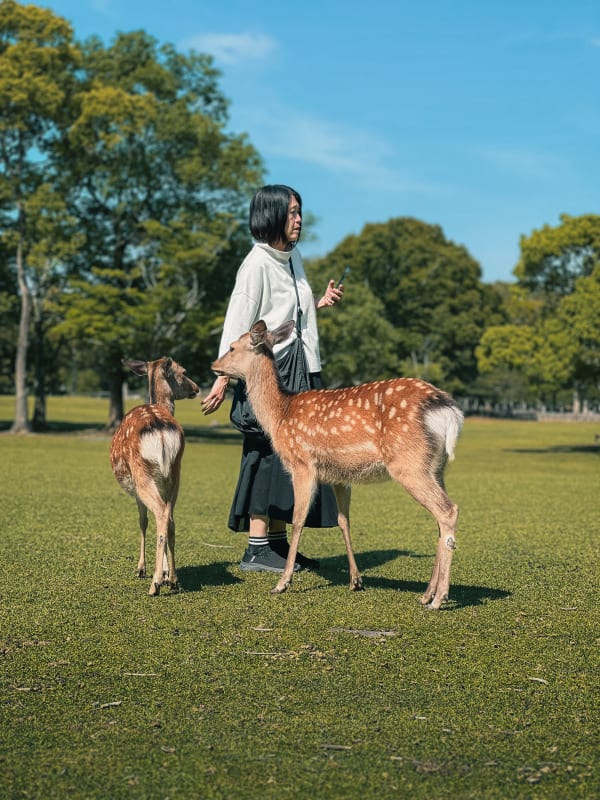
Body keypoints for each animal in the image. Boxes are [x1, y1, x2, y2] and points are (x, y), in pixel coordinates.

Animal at [110, 357, 200, 596]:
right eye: (184, 372)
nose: (196, 388)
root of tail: (160, 431)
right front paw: (167, 573)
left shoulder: (135, 490)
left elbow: (142, 522)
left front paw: (141, 569)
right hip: (176, 474)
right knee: (170, 520)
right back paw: (174, 579)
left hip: (142, 476)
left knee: (160, 514)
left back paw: (155, 583)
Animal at [212, 320, 464, 609]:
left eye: (232, 347)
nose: (214, 365)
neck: (280, 415)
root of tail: (449, 412)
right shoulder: (339, 476)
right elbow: (344, 520)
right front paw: (355, 581)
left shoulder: (302, 463)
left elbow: (298, 520)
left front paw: (282, 583)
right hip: (436, 468)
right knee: (440, 518)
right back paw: (426, 594)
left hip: (408, 463)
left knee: (447, 511)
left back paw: (439, 598)